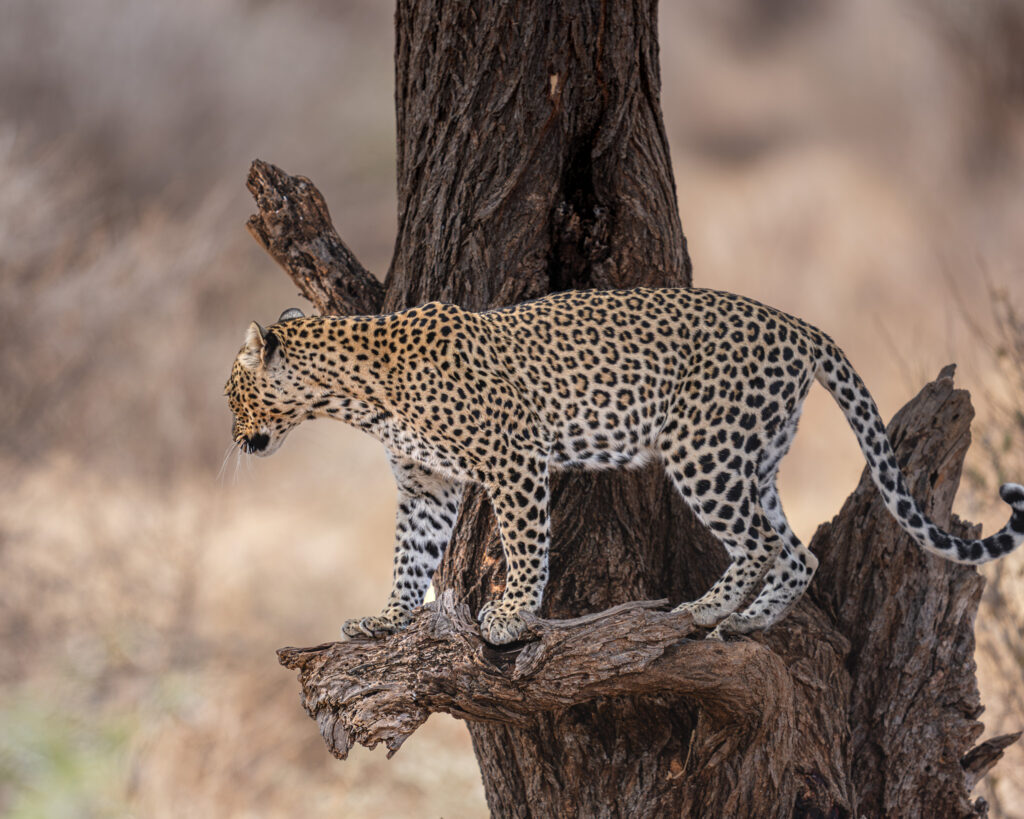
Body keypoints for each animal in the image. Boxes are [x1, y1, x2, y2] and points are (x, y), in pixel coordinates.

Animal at [224, 288, 1024, 644]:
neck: (351, 394)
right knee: (795, 550)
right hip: (753, 455)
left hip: (703, 448)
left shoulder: (514, 457)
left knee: (761, 543)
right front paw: (385, 618)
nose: (235, 439)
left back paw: (705, 608)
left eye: (232, 393)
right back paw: (748, 618)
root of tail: (797, 324)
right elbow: (408, 555)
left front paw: (511, 613)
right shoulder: (428, 484)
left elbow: (526, 543)